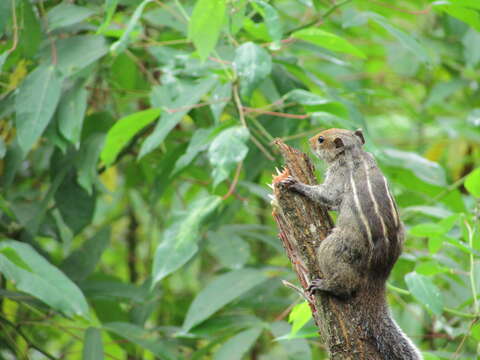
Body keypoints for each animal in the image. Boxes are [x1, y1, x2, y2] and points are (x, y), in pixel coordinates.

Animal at [284, 129, 422, 360]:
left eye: (321, 139)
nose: (310, 141)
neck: (354, 153)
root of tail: (379, 271)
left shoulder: (337, 177)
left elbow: (326, 195)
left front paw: (296, 185)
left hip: (334, 247)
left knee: (345, 284)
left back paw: (326, 285)